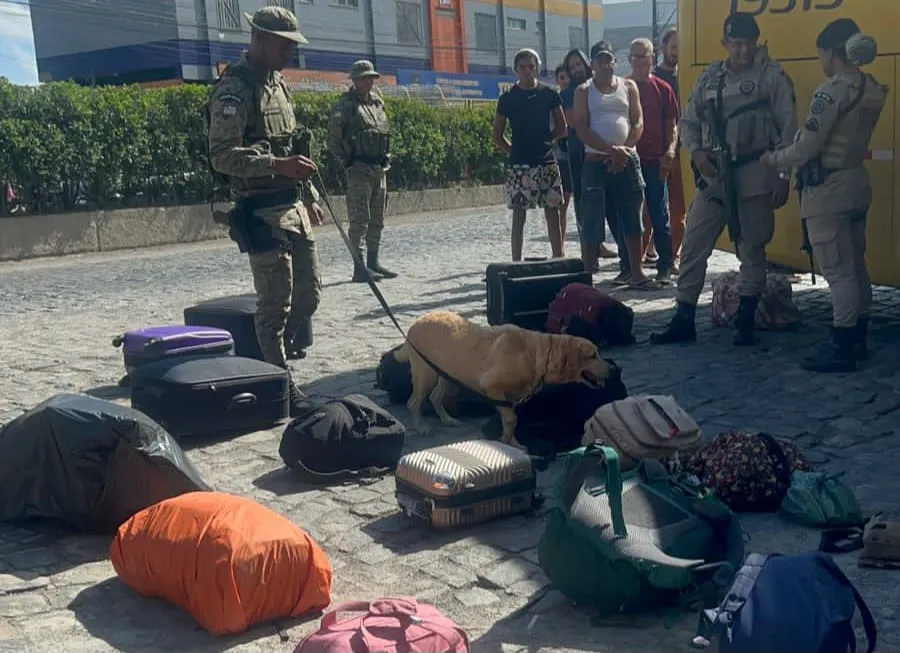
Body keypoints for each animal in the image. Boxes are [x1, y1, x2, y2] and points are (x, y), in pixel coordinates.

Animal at [394, 310, 612, 444]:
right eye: (593, 355)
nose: (611, 368)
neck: (537, 352)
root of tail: (416, 322)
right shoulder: (492, 388)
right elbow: (511, 419)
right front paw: (507, 443)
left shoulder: (511, 397)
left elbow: (511, 421)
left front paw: (511, 442)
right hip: (426, 373)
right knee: (414, 402)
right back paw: (421, 428)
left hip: (448, 375)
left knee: (435, 397)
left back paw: (448, 420)